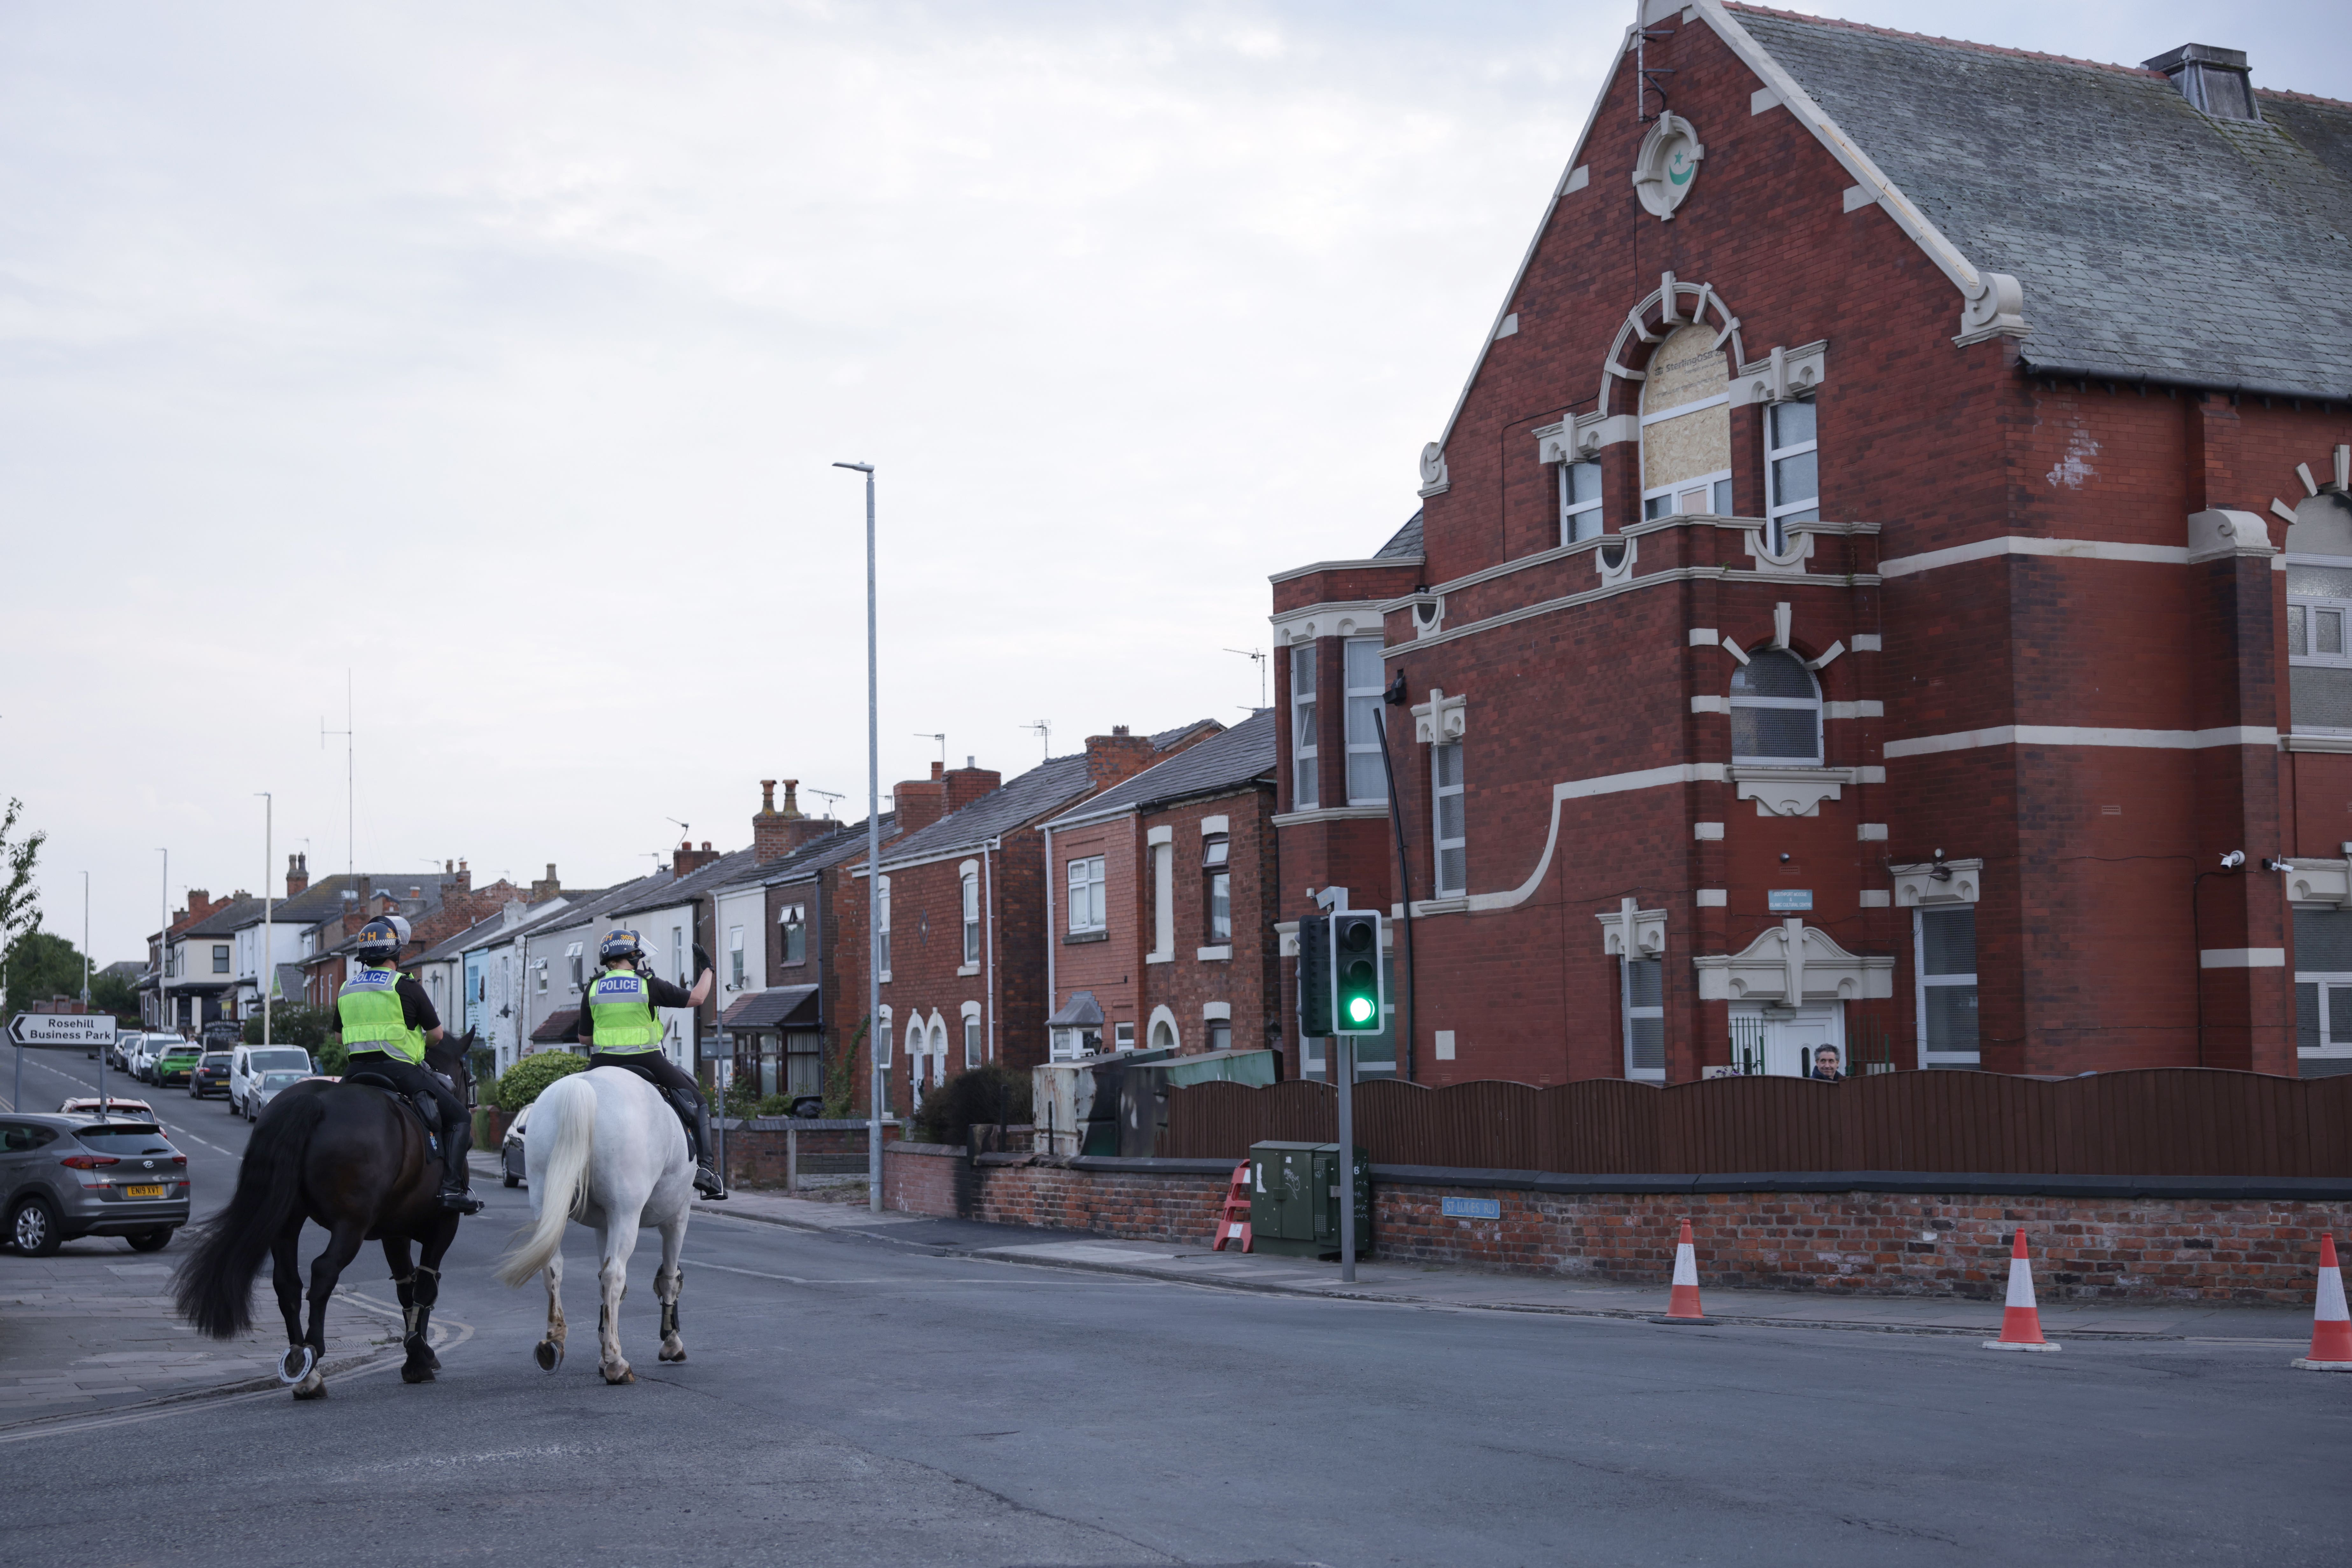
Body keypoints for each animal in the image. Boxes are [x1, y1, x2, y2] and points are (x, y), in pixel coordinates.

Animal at [173, 1030, 477, 1401]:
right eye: (466, 1073)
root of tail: (315, 1101)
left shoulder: (395, 1233)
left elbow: (406, 1290)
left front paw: (416, 1353)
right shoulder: (444, 1226)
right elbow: (424, 1288)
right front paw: (420, 1357)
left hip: (287, 1222)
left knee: (287, 1283)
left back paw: (297, 1360)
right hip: (351, 1225)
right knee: (323, 1271)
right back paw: (312, 1357)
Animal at [489, 1067, 687, 1382]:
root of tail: (584, 1087)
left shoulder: (603, 1225)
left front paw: (603, 1349)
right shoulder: (677, 1216)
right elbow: (668, 1279)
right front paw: (670, 1342)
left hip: (545, 1197)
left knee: (554, 1265)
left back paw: (555, 1341)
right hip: (626, 1212)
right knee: (615, 1274)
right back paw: (617, 1363)